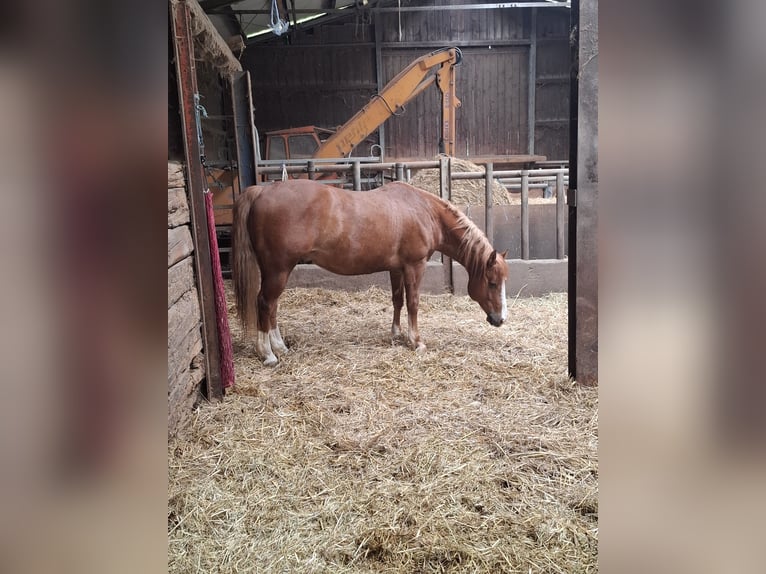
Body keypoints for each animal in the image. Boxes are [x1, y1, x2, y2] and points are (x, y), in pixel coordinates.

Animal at [232, 179, 509, 366]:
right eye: (492, 283)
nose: (500, 320)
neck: (424, 212)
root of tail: (262, 190)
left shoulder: (397, 268)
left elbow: (397, 300)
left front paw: (397, 334)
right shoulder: (414, 266)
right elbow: (413, 303)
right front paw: (416, 341)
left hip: (278, 272)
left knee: (272, 306)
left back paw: (280, 347)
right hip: (278, 270)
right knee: (264, 304)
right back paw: (268, 354)